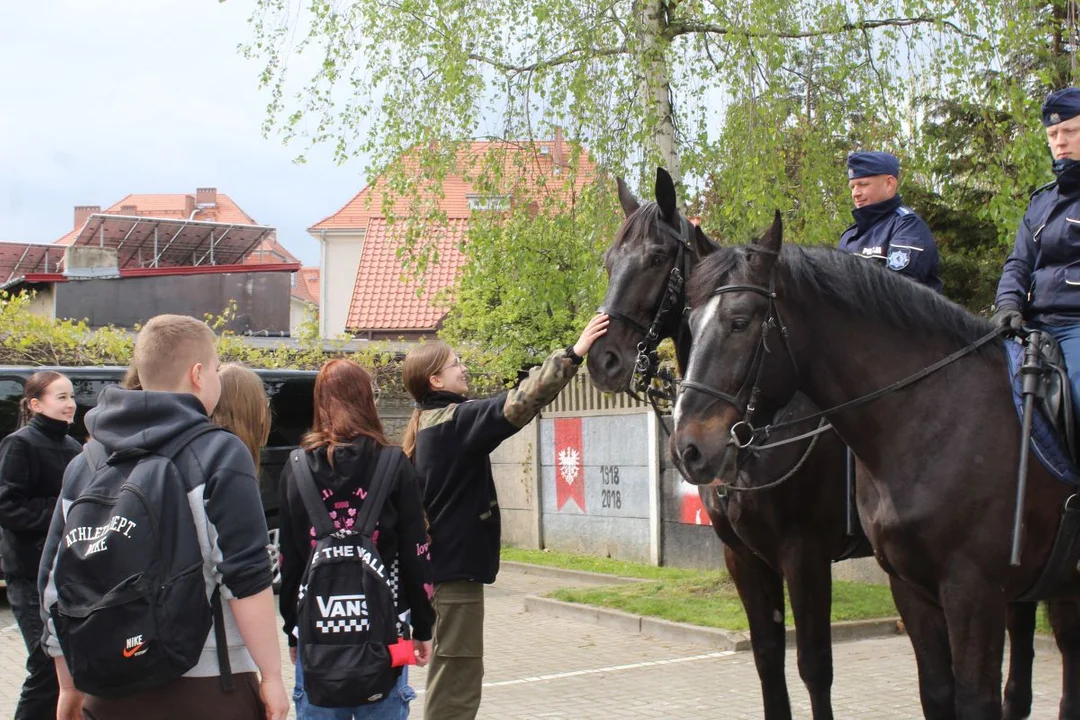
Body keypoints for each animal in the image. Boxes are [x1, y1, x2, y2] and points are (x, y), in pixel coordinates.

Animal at [587, 166, 872, 716]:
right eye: (609, 262)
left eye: (657, 257)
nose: (600, 359)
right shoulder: (744, 557)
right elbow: (767, 661)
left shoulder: (805, 556)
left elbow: (814, 668)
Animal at [673, 215, 1080, 720]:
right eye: (690, 322)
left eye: (740, 322)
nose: (688, 448)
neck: (935, 416)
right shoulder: (898, 584)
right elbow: (775, 659)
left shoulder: (964, 588)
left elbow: (817, 665)